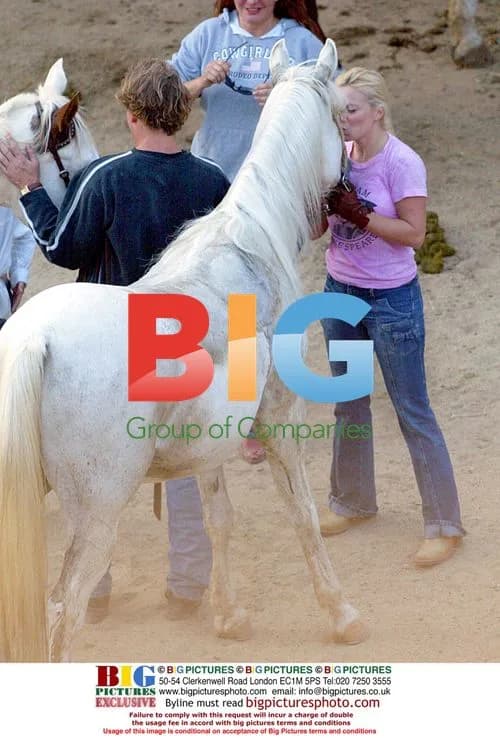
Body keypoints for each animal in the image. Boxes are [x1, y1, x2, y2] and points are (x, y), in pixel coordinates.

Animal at [0, 40, 368, 662]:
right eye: (341, 116)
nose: (353, 194)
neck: (251, 241)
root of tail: (35, 342)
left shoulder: (211, 443)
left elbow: (219, 517)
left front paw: (227, 614)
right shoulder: (279, 422)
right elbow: (304, 515)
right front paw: (341, 614)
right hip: (97, 517)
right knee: (64, 611)